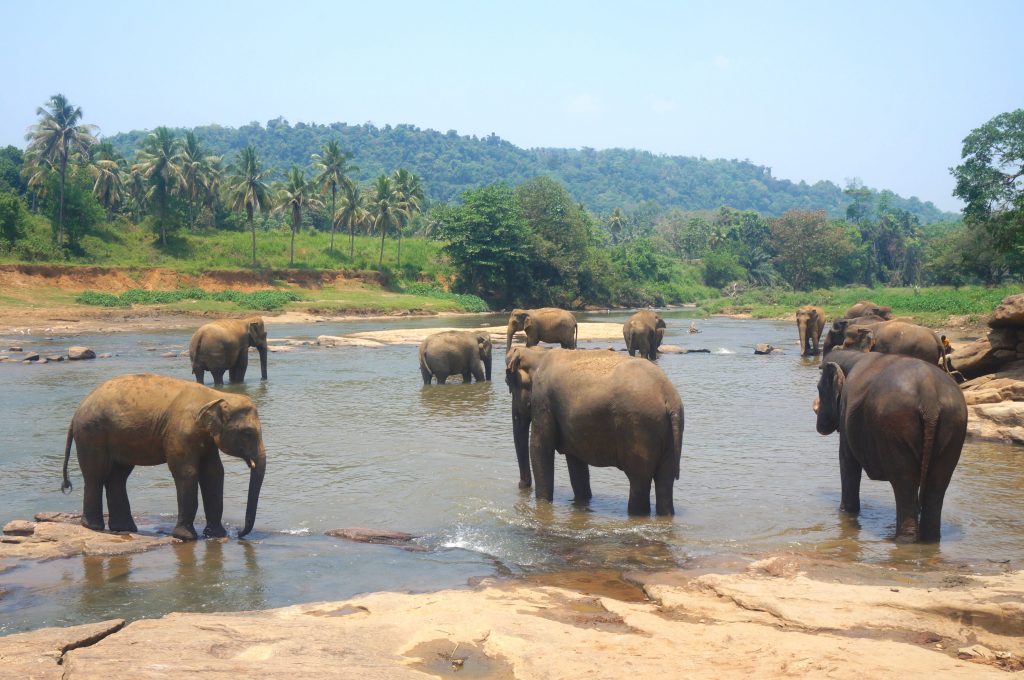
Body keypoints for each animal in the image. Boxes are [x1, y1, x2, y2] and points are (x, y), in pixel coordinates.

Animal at [59, 372, 268, 540]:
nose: (238, 533)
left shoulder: (208, 439)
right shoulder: (179, 433)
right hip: (92, 433)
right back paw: (93, 526)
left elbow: (214, 473)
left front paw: (216, 535)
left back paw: (123, 528)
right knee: (96, 474)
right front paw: (186, 537)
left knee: (117, 477)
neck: (215, 396)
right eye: (248, 433)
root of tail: (77, 411)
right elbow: (186, 472)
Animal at [505, 346, 684, 516]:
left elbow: (540, 448)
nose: (522, 486)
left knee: (639, 481)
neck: (537, 354)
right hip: (668, 433)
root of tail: (669, 398)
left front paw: (542, 503)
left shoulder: (542, 399)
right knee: (665, 481)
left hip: (640, 427)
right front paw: (583, 502)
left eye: (509, 383)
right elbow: (576, 461)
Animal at [811, 350, 962, 540]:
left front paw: (846, 513)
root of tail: (930, 399)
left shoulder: (846, 412)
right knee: (938, 484)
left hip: (895, 426)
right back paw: (929, 539)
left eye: (818, 388)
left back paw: (904, 540)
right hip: (954, 426)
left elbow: (847, 462)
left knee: (904, 481)